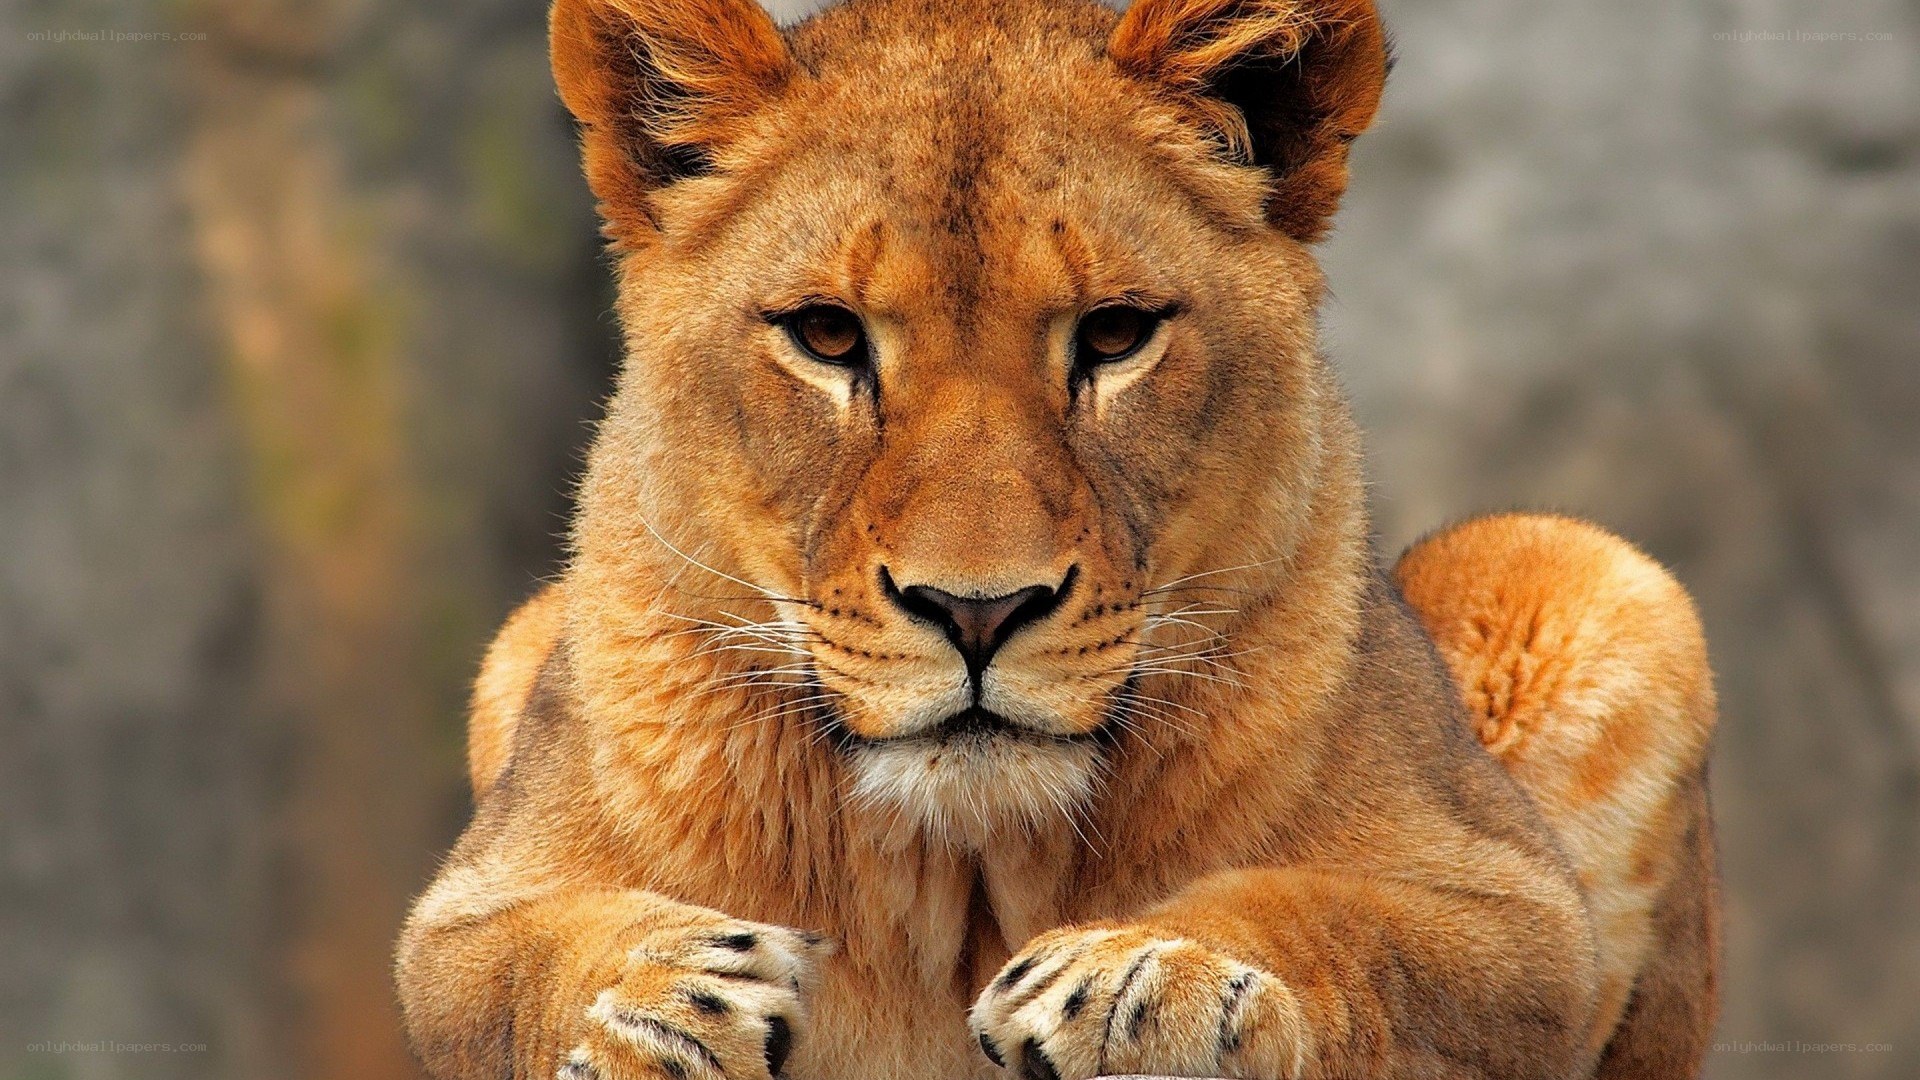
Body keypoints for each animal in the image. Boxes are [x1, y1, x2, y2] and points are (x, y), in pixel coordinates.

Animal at [395, 1, 1720, 1078]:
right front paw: (665, 994)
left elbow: (1340, 918)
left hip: (1589, 575)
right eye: (826, 335)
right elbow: (513, 963)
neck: (968, 876)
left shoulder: (1515, 911)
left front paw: (1150, 972)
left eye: (1116, 333)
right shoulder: (467, 908)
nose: (977, 612)